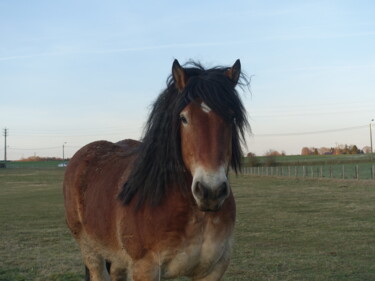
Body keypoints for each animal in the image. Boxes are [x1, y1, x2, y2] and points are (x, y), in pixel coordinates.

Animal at [63, 58, 251, 278]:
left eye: (232, 117)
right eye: (183, 118)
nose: (210, 192)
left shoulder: (214, 270)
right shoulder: (145, 268)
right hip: (91, 251)